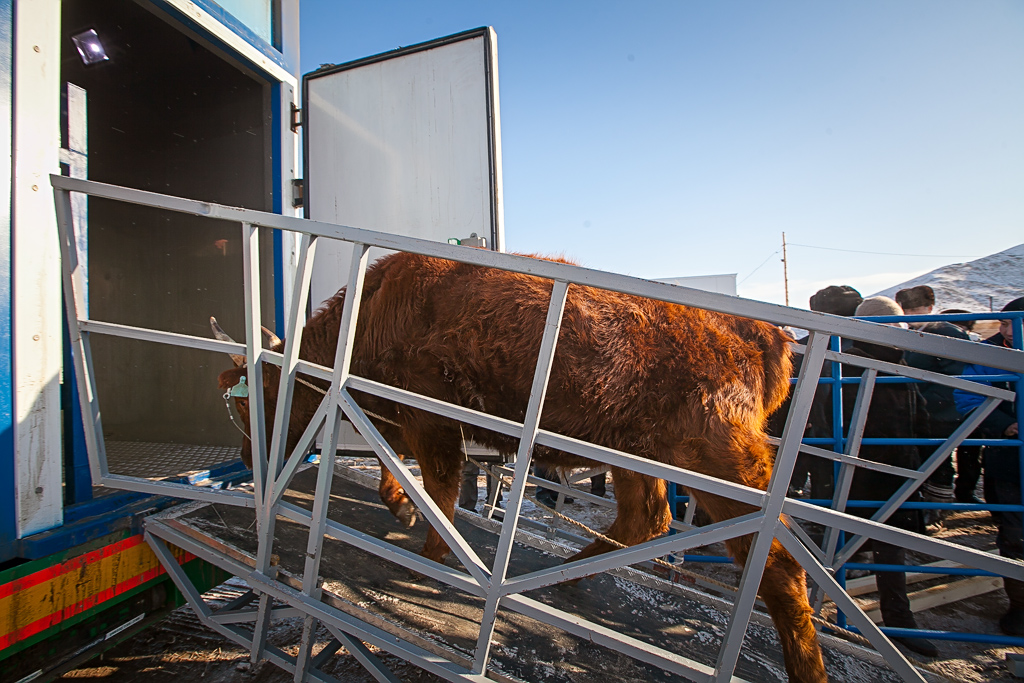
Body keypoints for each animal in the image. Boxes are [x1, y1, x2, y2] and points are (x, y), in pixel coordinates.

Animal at [220, 252, 827, 683]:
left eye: (255, 399)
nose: (247, 459)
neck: (377, 305)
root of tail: (758, 331)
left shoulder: (431, 413)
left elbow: (440, 481)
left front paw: (433, 553)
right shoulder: (403, 414)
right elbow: (402, 459)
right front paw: (400, 506)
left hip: (724, 466)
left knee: (778, 569)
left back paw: (808, 669)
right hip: (636, 457)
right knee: (647, 518)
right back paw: (565, 574)